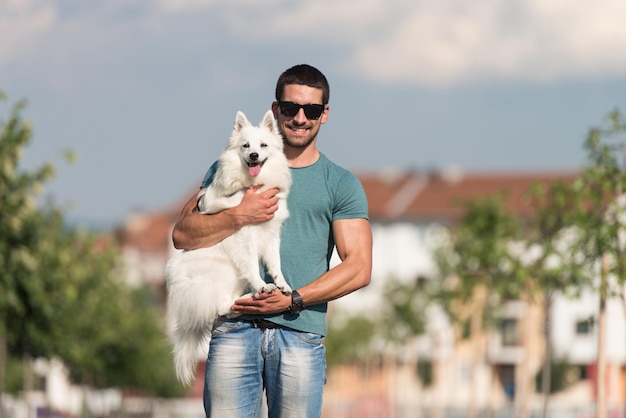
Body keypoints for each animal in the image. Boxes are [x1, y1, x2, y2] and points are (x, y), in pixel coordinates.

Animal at [166, 110, 292, 386]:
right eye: (245, 146)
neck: (254, 184)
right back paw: (251, 297)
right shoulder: (246, 235)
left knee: (223, 308)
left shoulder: (271, 235)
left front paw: (282, 285)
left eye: (262, 146)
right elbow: (254, 267)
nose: (253, 155)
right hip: (226, 271)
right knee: (222, 306)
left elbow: (276, 264)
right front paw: (263, 285)